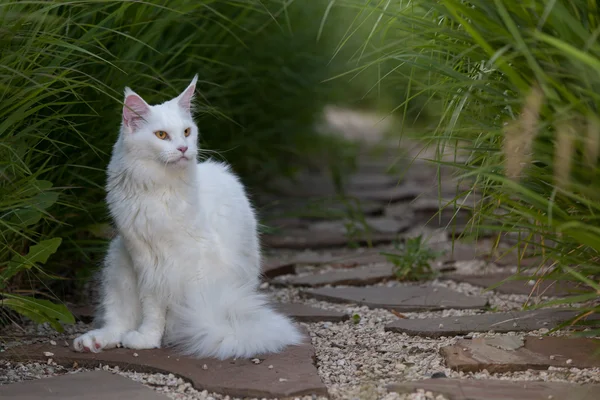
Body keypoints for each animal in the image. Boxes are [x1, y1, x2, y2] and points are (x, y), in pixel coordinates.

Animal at [72, 75, 302, 360]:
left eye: (186, 132)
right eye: (161, 135)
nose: (183, 148)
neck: (158, 189)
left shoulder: (194, 260)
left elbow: (190, 306)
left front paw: (192, 331)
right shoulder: (145, 262)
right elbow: (152, 311)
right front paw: (148, 339)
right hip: (119, 260)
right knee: (118, 323)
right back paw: (94, 341)